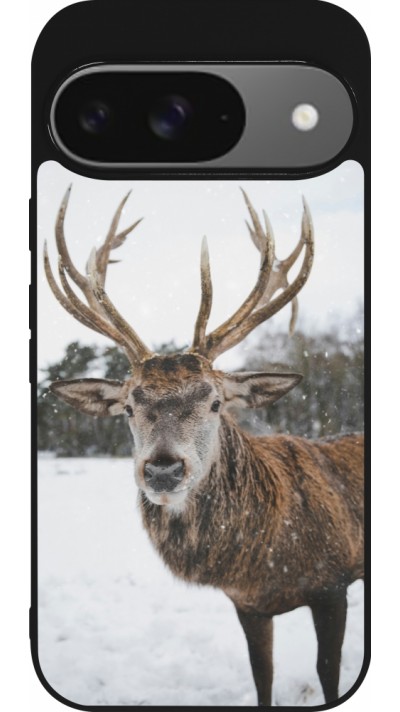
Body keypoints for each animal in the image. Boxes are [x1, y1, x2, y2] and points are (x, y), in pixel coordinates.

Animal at [43, 187, 364, 706]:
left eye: (215, 402)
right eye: (129, 406)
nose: (163, 470)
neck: (265, 559)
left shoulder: (333, 582)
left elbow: (328, 673)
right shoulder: (248, 604)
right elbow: (262, 675)